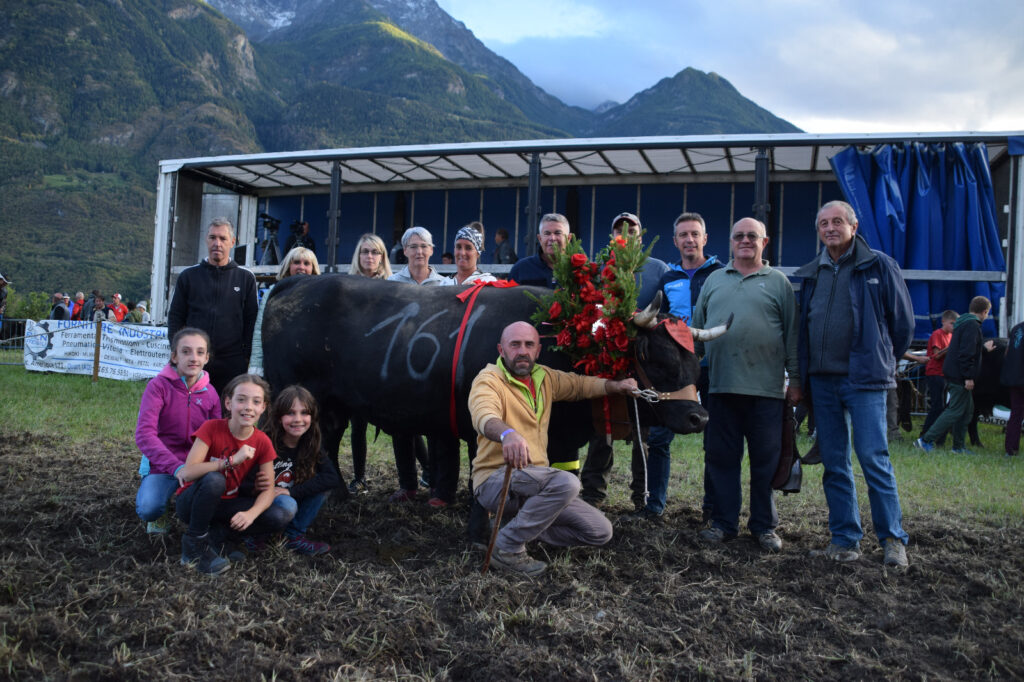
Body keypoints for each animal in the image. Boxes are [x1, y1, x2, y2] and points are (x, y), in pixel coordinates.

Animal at [260, 274, 716, 471]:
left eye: (696, 363)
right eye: (659, 359)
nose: (700, 417)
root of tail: (296, 282)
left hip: (333, 405)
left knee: (326, 443)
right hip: (295, 394)